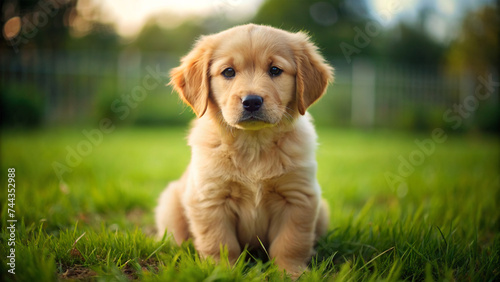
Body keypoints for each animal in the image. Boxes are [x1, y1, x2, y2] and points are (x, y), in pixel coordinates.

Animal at [155, 23, 336, 276]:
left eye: (275, 70)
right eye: (229, 72)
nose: (251, 101)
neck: (253, 144)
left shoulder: (298, 197)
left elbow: (291, 242)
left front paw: (291, 273)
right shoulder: (210, 198)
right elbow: (219, 242)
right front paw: (221, 270)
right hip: (170, 203)